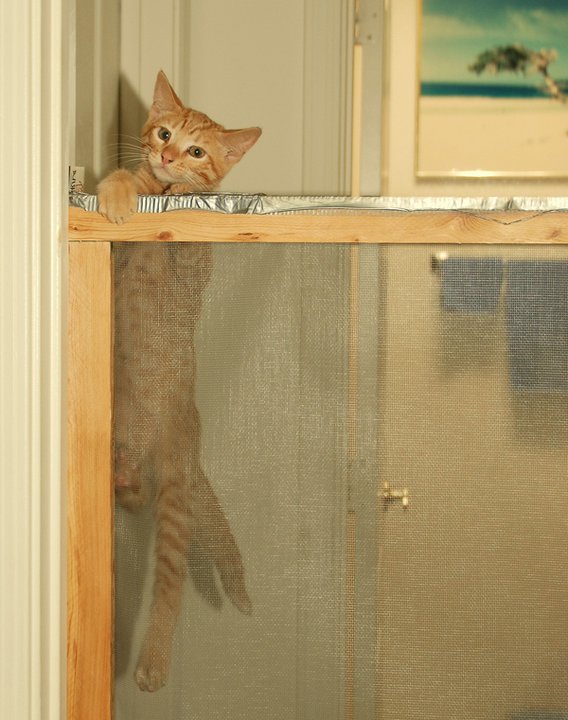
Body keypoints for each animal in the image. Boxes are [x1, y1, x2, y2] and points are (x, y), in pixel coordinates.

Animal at [98, 70, 261, 692]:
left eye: (197, 152)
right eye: (164, 133)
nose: (168, 156)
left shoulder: (194, 262)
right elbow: (129, 181)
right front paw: (121, 191)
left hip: (174, 498)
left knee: (169, 586)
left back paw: (152, 663)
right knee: (135, 496)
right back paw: (124, 482)